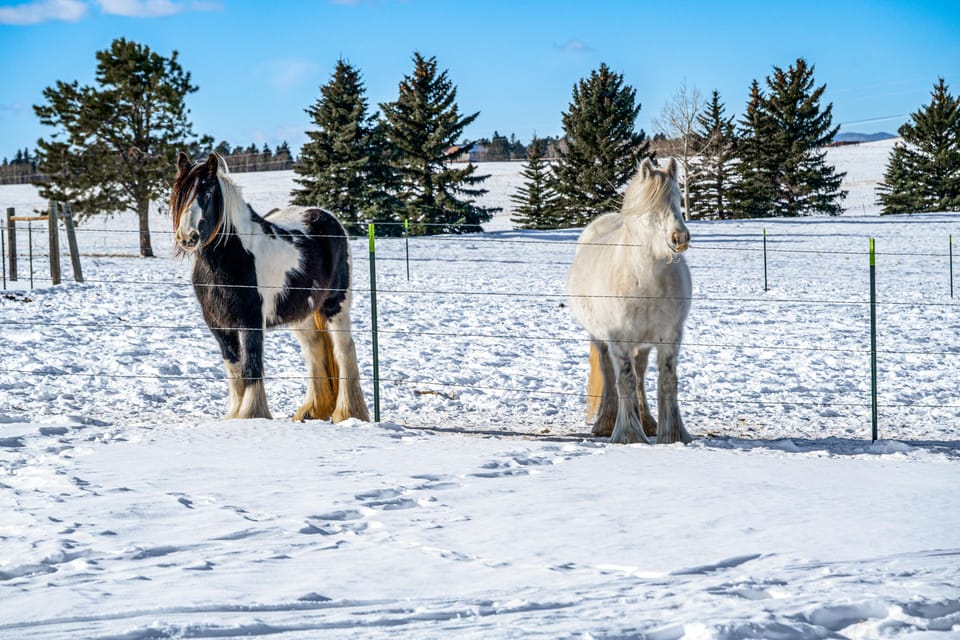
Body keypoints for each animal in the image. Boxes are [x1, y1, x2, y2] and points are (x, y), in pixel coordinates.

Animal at [170, 152, 369, 423]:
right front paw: (235, 414)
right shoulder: (219, 325)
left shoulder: (251, 320)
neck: (232, 255)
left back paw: (348, 413)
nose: (187, 237)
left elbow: (252, 364)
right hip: (302, 314)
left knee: (344, 350)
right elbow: (234, 368)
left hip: (336, 306)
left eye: (207, 193)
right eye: (179, 192)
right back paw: (312, 410)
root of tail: (329, 218)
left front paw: (252, 414)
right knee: (314, 349)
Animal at [567, 157, 692, 444]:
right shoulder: (619, 338)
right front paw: (629, 435)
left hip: (643, 343)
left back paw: (648, 422)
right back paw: (606, 422)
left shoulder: (670, 337)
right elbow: (624, 380)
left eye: (677, 198)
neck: (646, 281)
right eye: (651, 206)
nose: (679, 238)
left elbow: (667, 380)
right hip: (600, 338)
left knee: (641, 373)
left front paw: (673, 435)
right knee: (609, 371)